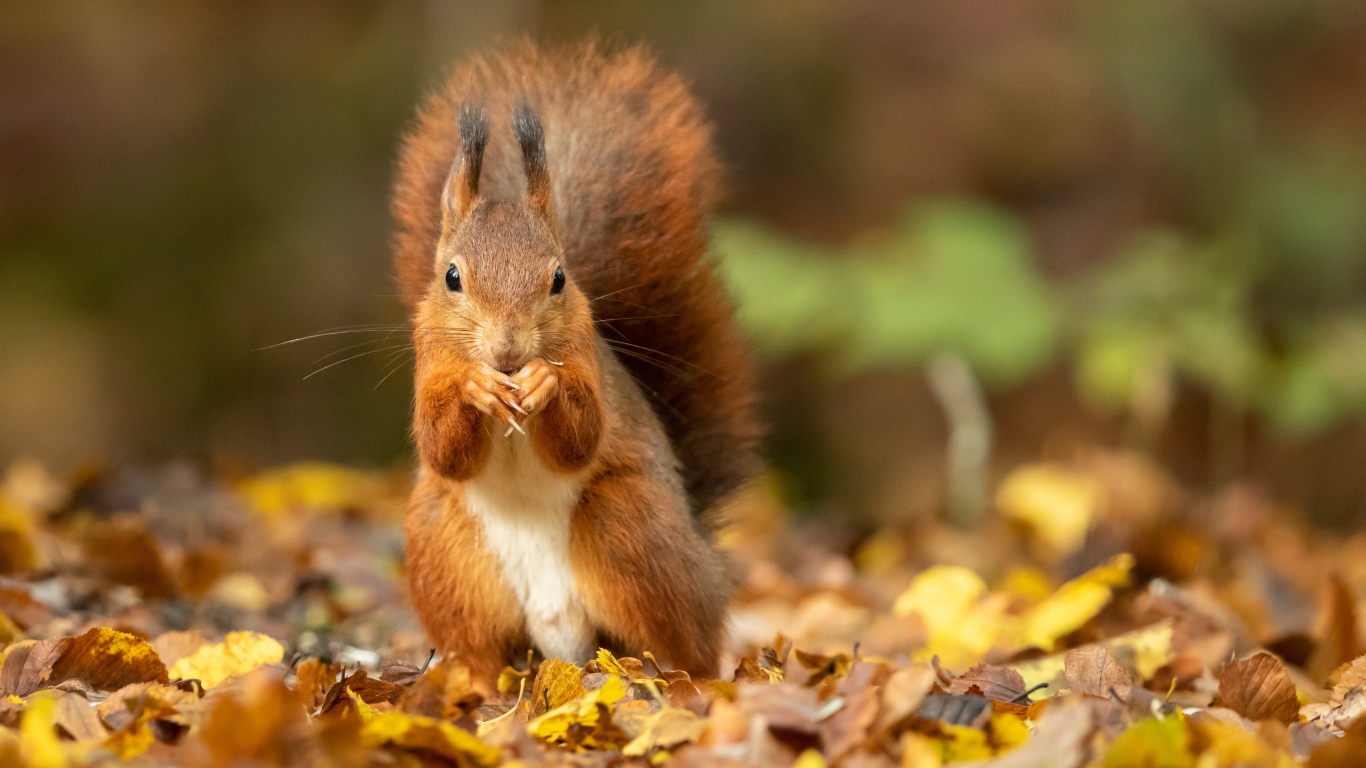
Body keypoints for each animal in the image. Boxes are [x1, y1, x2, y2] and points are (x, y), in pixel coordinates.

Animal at [390, 38, 764, 683]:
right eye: (452, 277)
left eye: (559, 279)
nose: (508, 350)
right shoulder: (428, 361)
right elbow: (442, 446)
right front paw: (475, 387)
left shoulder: (585, 355)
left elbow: (581, 436)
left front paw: (544, 383)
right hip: (446, 549)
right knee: (478, 644)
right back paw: (473, 681)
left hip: (628, 526)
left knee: (687, 648)